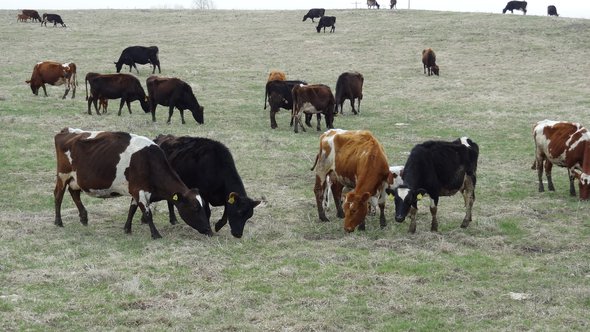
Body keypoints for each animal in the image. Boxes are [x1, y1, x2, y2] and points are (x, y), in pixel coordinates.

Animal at [52, 127, 212, 239]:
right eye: (195, 208)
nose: (209, 231)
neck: (149, 161)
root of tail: (67, 131)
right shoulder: (138, 190)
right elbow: (147, 213)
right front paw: (156, 234)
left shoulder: (135, 191)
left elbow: (132, 209)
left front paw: (127, 229)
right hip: (62, 175)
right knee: (58, 195)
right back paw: (58, 222)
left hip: (76, 179)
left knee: (74, 193)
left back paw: (84, 218)